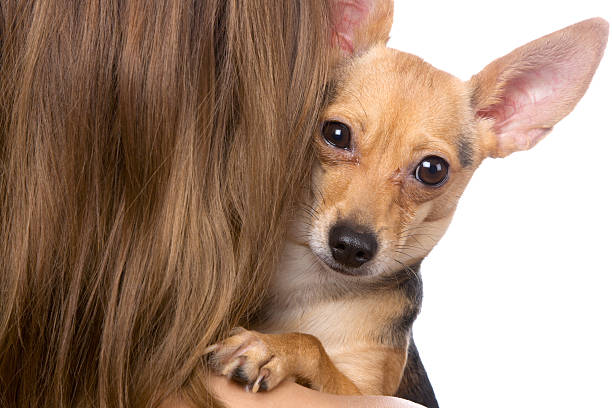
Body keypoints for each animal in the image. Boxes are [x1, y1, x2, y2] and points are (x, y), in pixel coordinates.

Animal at [204, 2, 608, 404]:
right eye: (335, 133)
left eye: (432, 170)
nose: (352, 245)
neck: (310, 289)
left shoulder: (367, 389)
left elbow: (314, 347)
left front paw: (273, 348)